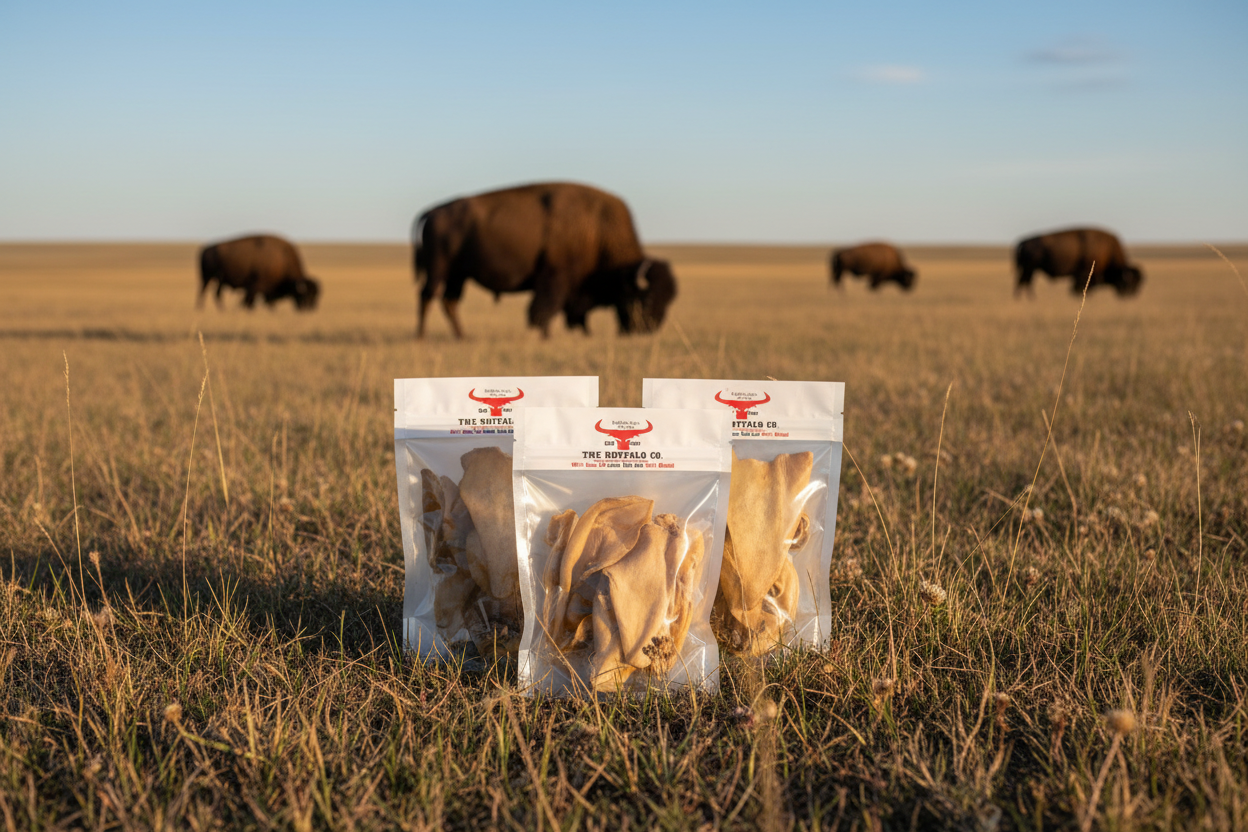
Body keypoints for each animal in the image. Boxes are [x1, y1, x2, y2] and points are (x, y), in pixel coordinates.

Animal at [411, 182, 677, 338]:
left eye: (669, 300)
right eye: (647, 298)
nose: (649, 329)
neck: (597, 229)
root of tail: (434, 211)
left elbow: (570, 313)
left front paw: (582, 333)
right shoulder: (555, 278)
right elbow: (544, 309)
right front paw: (545, 335)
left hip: (458, 275)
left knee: (449, 301)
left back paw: (462, 336)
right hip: (439, 270)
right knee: (427, 296)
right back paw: (422, 335)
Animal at [1015, 227, 1143, 297]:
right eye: (1129, 283)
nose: (1131, 295)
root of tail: (1023, 241)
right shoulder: (1082, 274)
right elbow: (1077, 287)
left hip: (1029, 269)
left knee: (1023, 282)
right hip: (1029, 269)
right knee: (1025, 282)